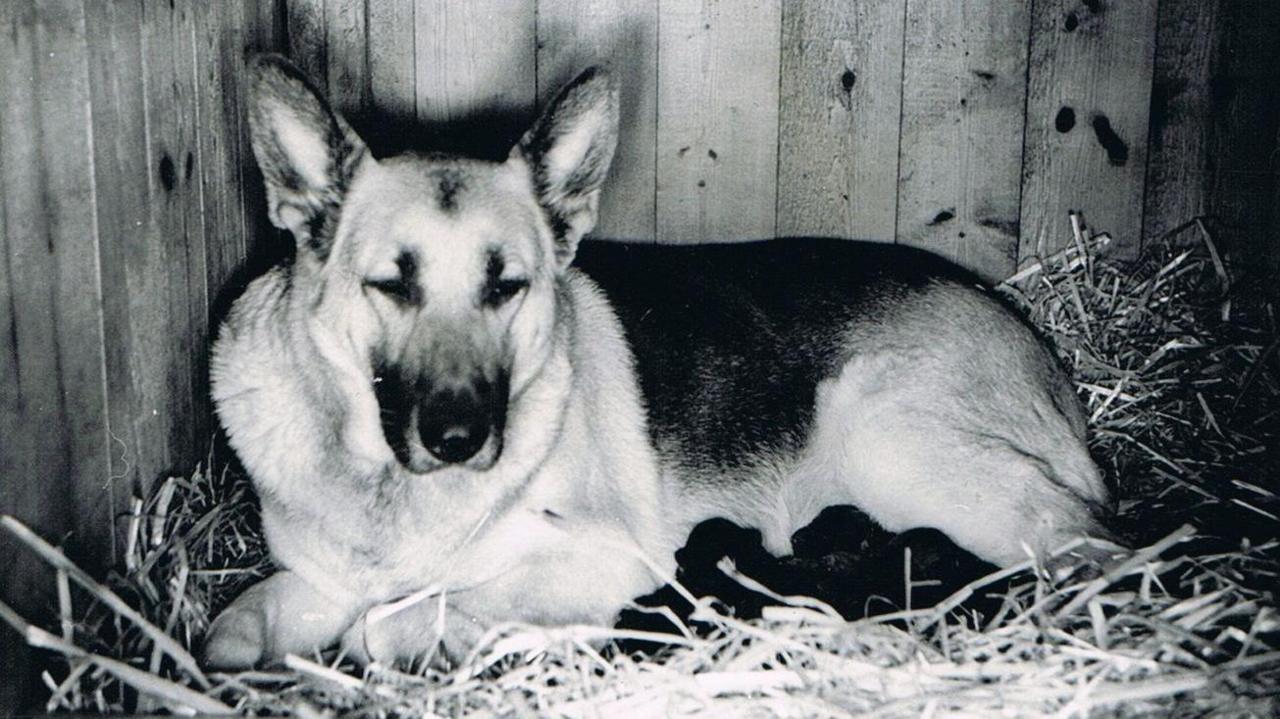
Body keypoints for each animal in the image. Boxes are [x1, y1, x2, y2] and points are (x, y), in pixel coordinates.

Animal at [202, 55, 1121, 665]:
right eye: (393, 283)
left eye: (507, 286)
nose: (460, 439)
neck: (384, 486)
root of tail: (1025, 332)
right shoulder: (311, 582)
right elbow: (234, 626)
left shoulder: (605, 559)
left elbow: (388, 617)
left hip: (895, 444)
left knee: (1096, 546)